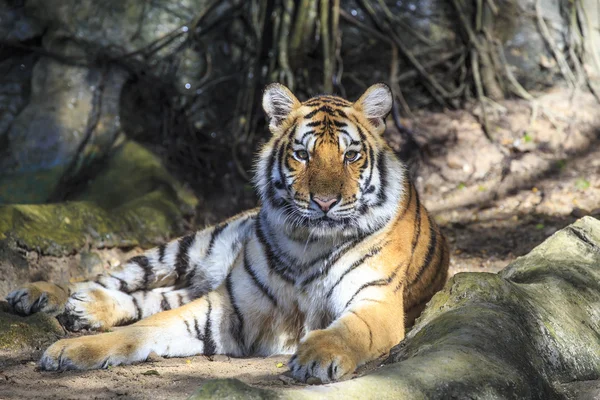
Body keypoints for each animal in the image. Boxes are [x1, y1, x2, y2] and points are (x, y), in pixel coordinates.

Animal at [4, 83, 448, 382]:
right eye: (302, 154)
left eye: (351, 155)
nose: (324, 202)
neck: (306, 243)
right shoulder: (227, 307)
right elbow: (143, 329)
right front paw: (70, 350)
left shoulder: (376, 303)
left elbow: (347, 330)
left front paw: (317, 356)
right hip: (186, 248)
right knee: (108, 277)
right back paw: (39, 295)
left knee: (146, 297)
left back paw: (82, 308)